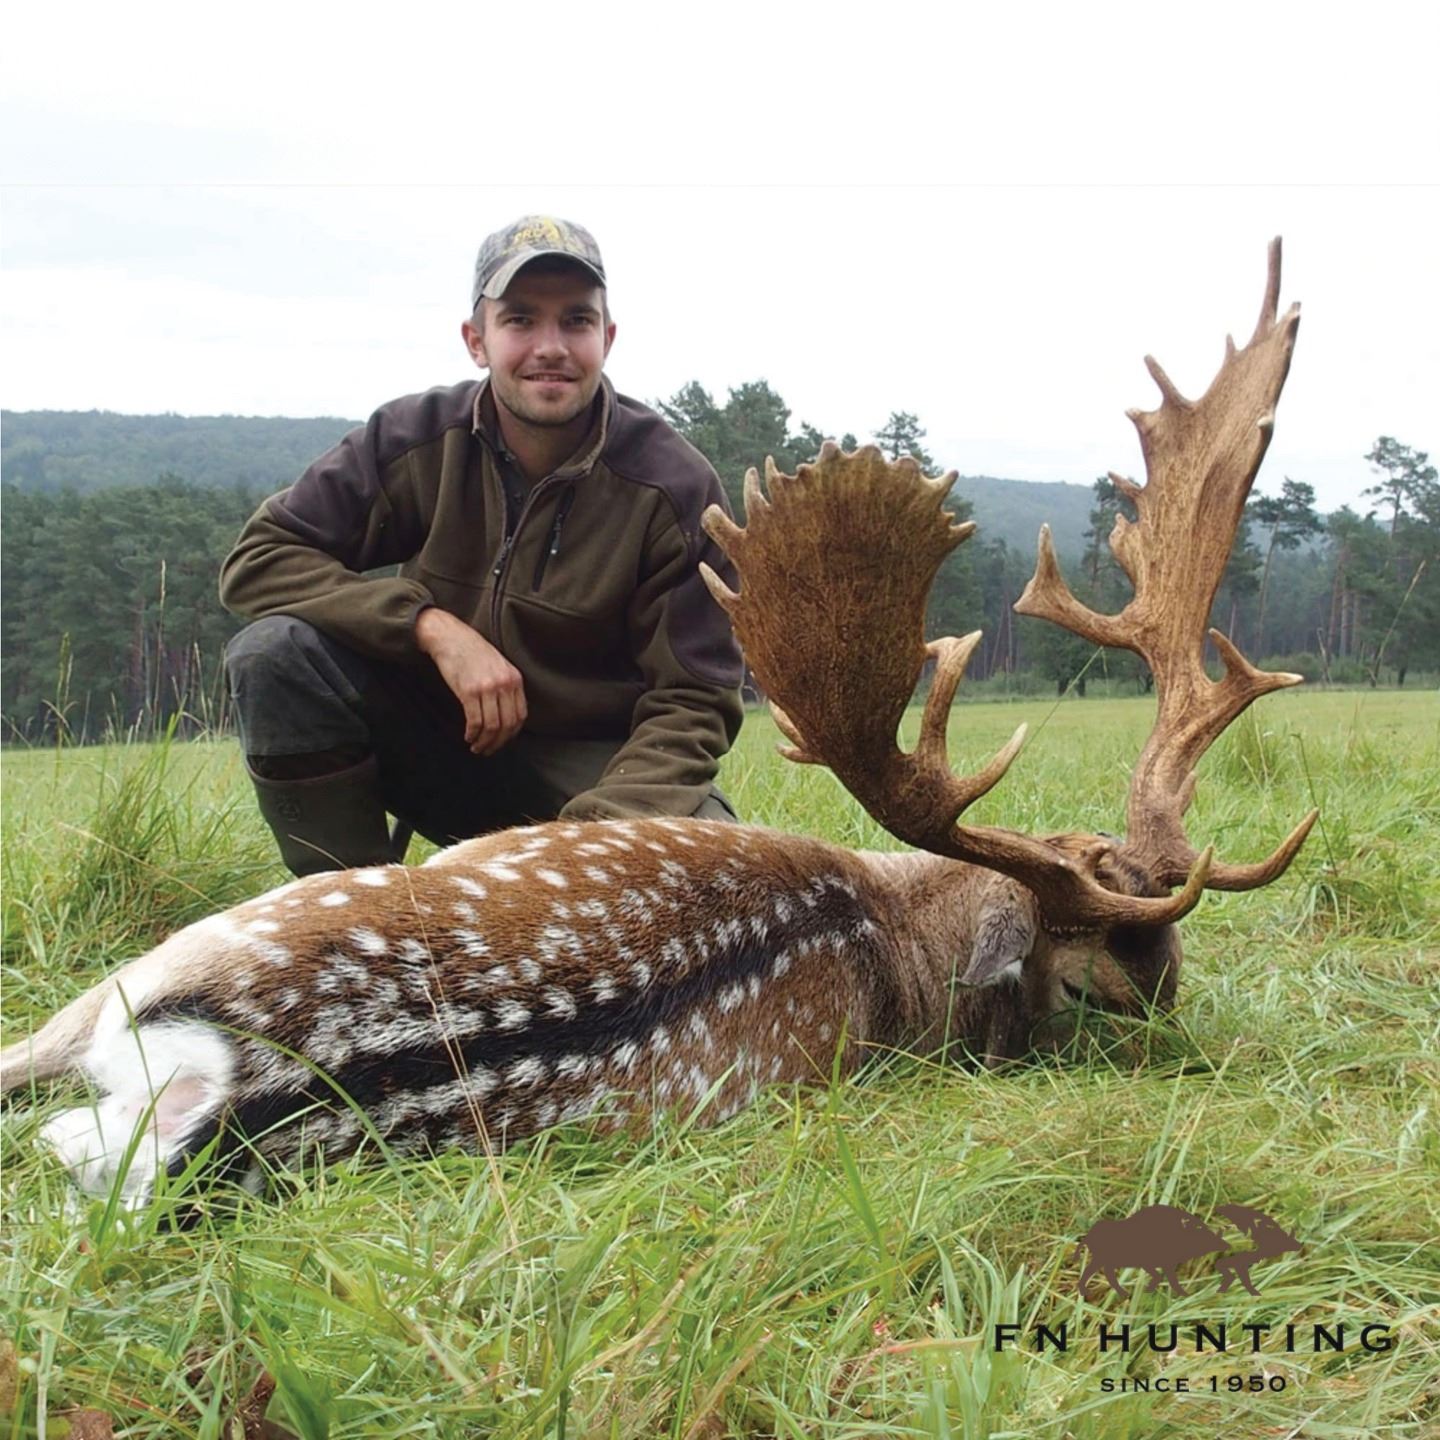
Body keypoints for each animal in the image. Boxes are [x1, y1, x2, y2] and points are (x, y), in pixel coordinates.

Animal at [0, 241, 1316, 1205]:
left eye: (1148, 989)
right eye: (1109, 988)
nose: (1186, 1040)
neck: (889, 927)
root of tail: (216, 1096)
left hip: (166, 957)